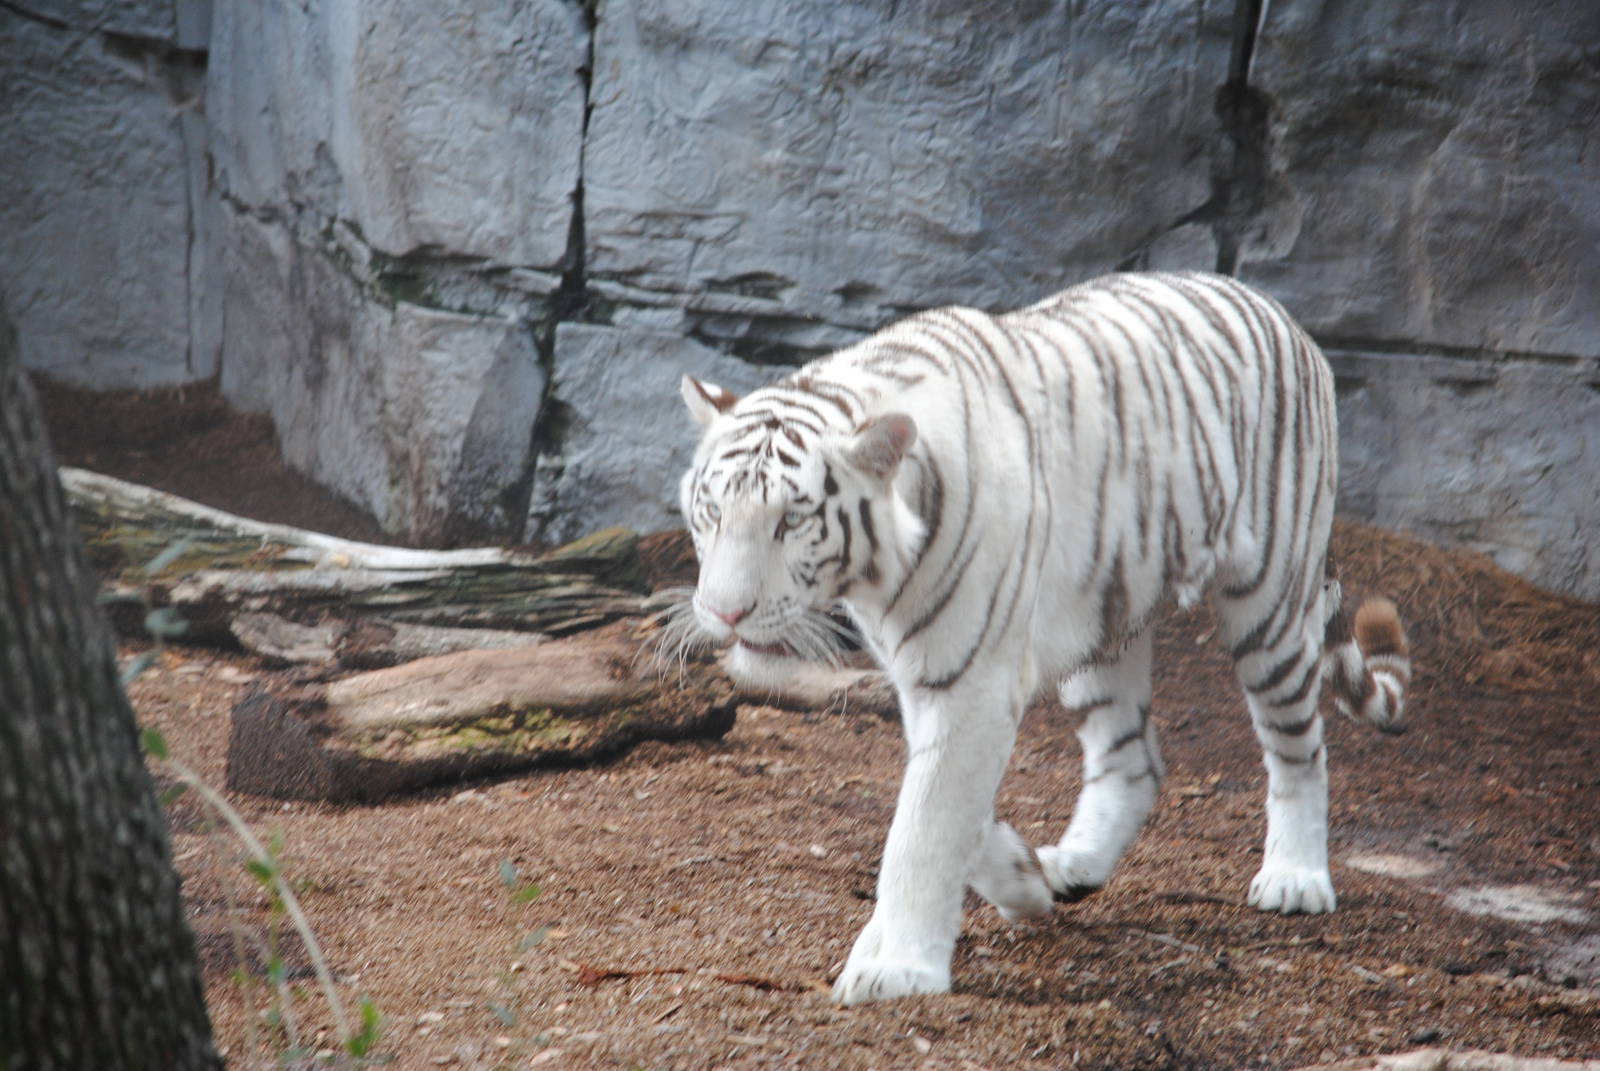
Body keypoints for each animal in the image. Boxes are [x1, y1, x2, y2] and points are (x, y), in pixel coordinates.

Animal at [670, 270, 1411, 1005]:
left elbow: (925, 826)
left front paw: (900, 968)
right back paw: (1072, 865)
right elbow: (948, 808)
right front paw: (1020, 880)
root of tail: (1277, 311)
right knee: (1133, 761)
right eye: (712, 510)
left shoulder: (971, 680)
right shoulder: (929, 678)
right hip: (1102, 620)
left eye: (790, 522)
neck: (878, 580)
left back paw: (1295, 877)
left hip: (1269, 601)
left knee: (1300, 748)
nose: (723, 613)